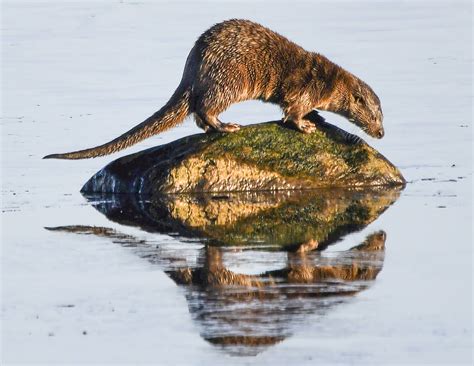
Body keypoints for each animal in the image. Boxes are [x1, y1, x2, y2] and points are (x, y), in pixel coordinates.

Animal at [43, 18, 386, 159]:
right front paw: (305, 125)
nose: (382, 133)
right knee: (204, 108)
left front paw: (318, 117)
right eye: (375, 117)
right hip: (229, 81)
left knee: (196, 114)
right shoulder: (306, 89)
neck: (331, 83)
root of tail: (191, 70)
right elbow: (291, 113)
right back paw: (226, 126)